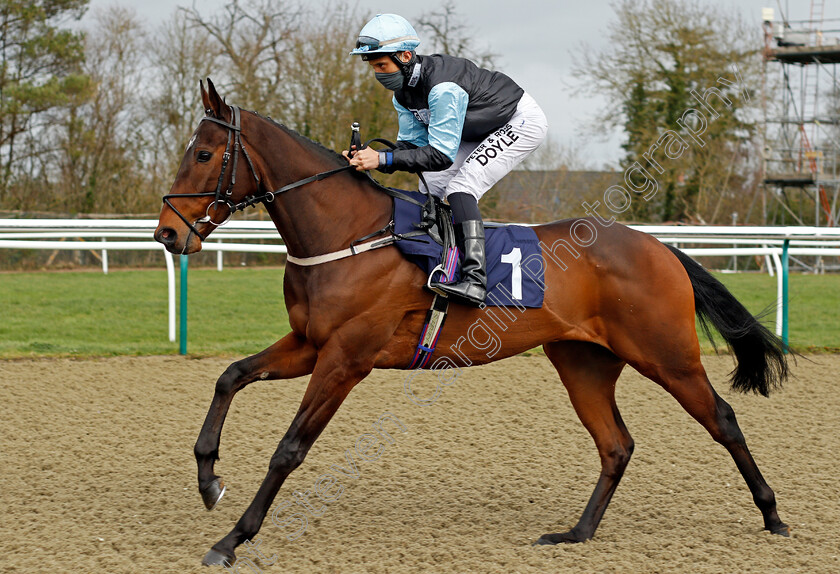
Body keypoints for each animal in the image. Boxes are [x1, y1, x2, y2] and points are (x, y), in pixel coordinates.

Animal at [154, 80, 792, 568]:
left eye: (204, 156)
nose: (167, 233)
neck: (349, 233)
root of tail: (659, 247)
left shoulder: (346, 358)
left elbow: (289, 449)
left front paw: (232, 539)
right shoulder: (309, 344)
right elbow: (231, 376)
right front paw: (209, 479)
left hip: (667, 355)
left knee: (723, 420)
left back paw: (773, 515)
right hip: (582, 362)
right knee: (616, 445)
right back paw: (576, 533)